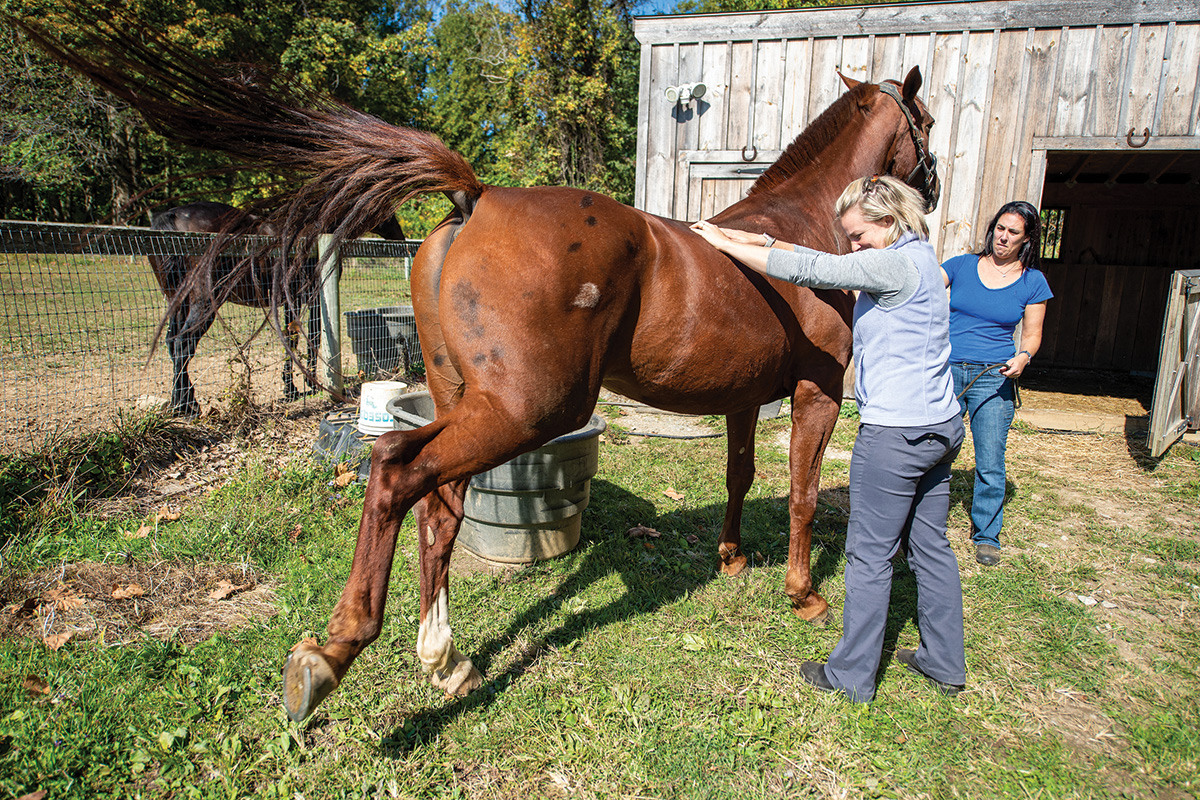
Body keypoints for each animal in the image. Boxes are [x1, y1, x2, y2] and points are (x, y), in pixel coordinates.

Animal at [145, 201, 405, 419]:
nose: (400, 237)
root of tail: (172, 215)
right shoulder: (308, 297)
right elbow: (308, 338)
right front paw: (304, 386)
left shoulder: (291, 301)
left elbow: (292, 340)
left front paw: (291, 388)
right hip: (206, 301)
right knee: (183, 344)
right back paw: (188, 407)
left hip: (178, 301)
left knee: (172, 343)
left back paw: (180, 404)